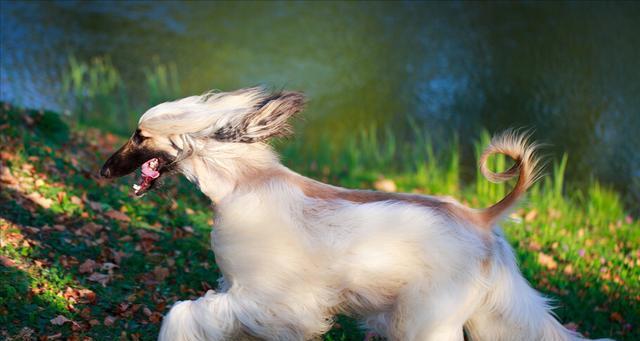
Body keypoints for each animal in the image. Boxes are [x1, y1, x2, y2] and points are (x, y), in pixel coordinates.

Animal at [101, 87, 608, 340]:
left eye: (139, 136)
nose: (104, 169)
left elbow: (184, 313)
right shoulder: (246, 293)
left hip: (430, 319)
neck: (242, 182)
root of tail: (482, 220)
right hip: (489, 309)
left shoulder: (270, 298)